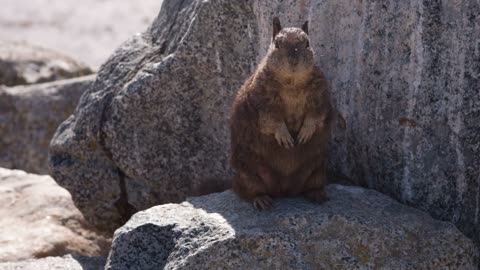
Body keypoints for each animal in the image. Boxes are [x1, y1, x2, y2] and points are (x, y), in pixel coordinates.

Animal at [231, 17, 332, 211]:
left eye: (307, 43)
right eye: (277, 44)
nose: (293, 60)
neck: (291, 82)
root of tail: (285, 190)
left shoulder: (321, 94)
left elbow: (315, 116)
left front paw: (305, 133)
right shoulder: (261, 99)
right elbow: (271, 120)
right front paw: (285, 136)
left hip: (318, 171)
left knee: (309, 187)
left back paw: (317, 195)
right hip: (248, 173)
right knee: (249, 191)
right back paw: (261, 200)